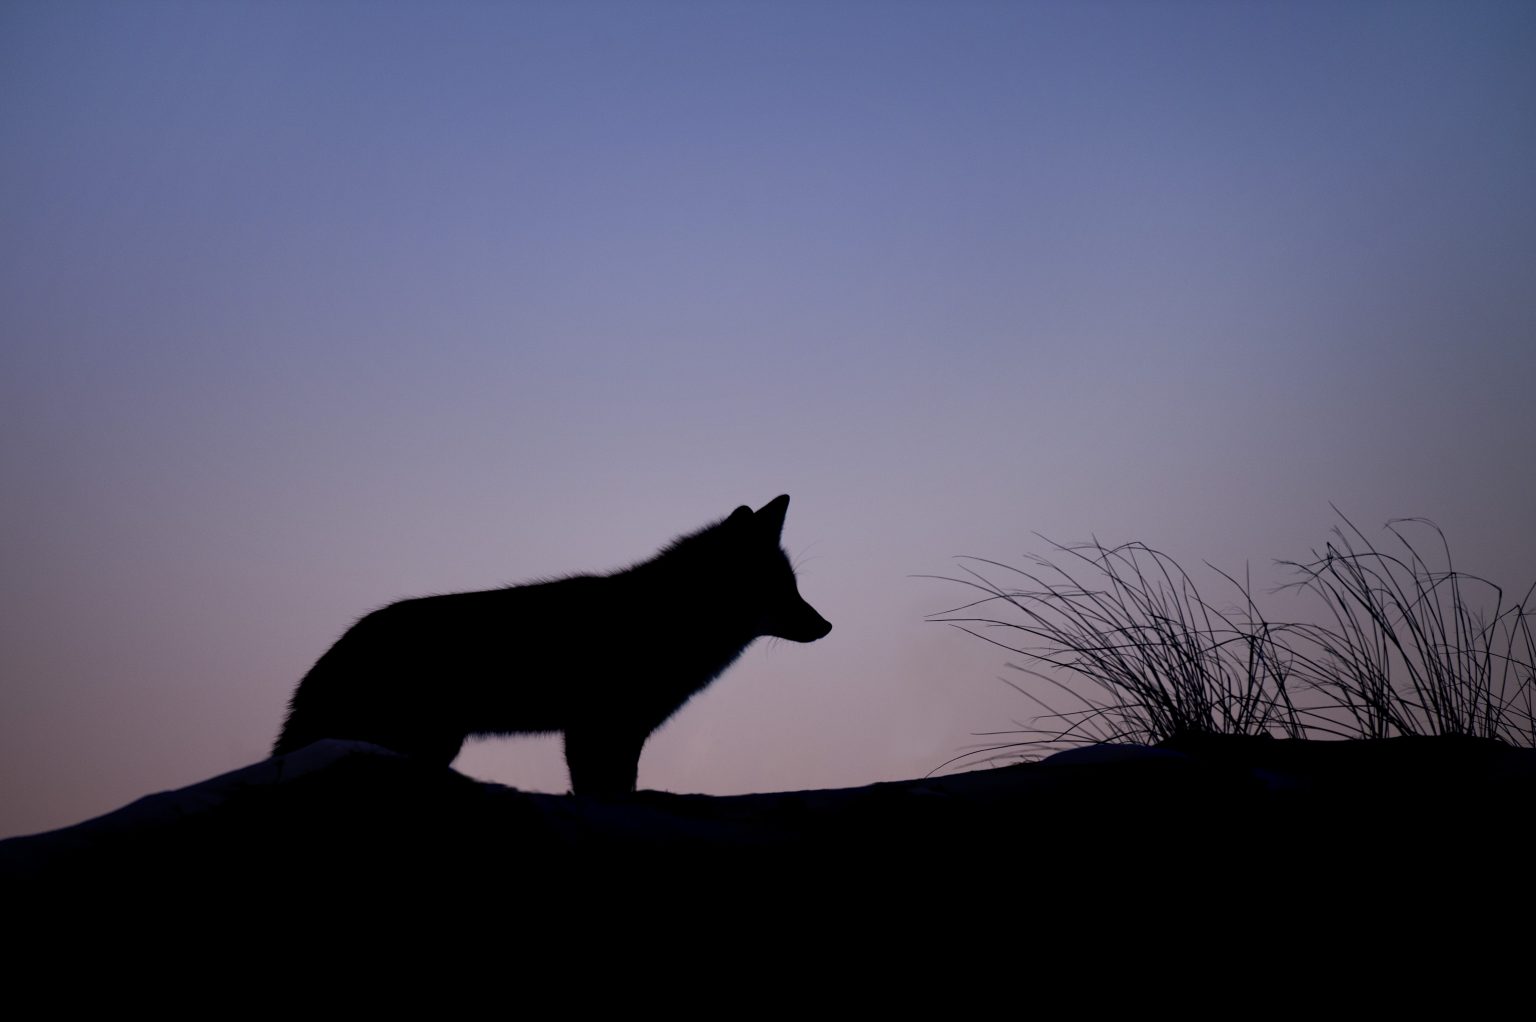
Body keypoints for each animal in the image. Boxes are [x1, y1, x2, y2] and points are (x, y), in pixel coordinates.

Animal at [273, 495, 831, 795]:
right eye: (780, 589)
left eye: (794, 586)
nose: (826, 626)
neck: (666, 619)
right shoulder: (596, 729)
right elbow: (602, 791)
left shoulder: (621, 732)